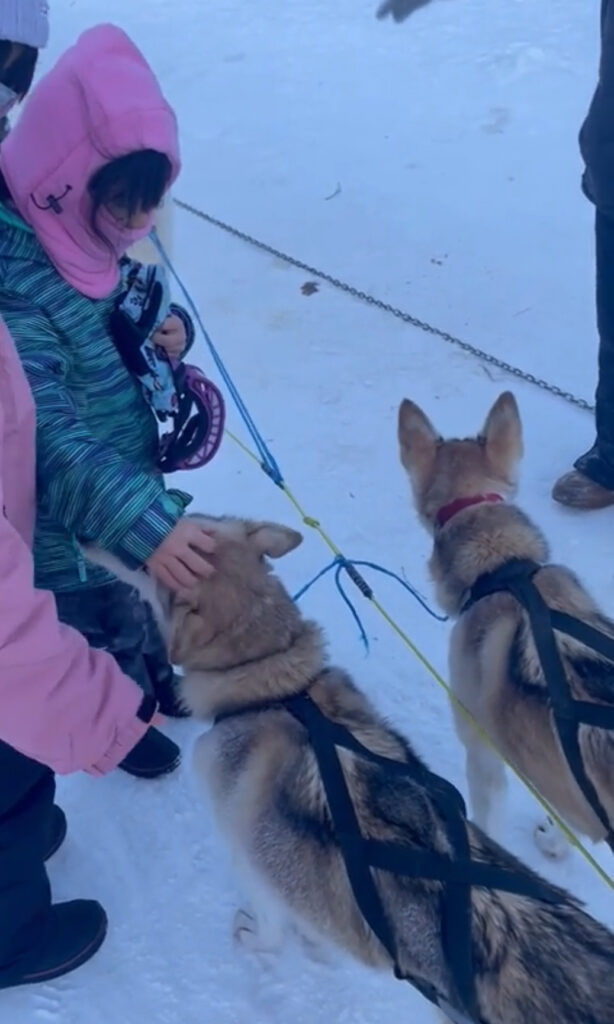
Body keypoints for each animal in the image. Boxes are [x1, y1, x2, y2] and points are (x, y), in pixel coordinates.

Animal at [86, 520, 614, 1024]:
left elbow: (270, 926)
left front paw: (259, 938)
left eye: (153, 555)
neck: (276, 689)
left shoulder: (250, 858)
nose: (97, 536)